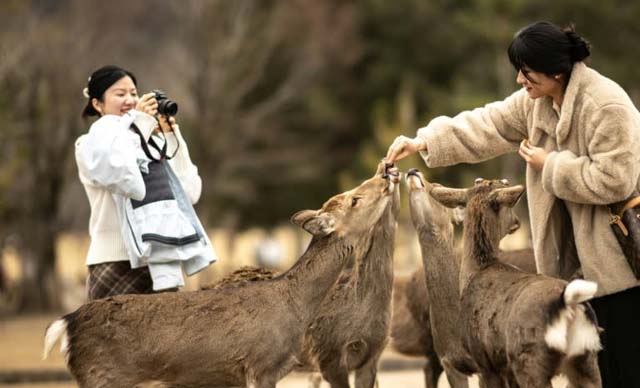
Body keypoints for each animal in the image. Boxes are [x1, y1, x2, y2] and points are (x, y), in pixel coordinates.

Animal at [42, 161, 398, 388]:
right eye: (355, 199)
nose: (385, 175)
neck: (293, 306)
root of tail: (66, 324)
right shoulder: (261, 363)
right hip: (103, 374)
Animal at [428, 177, 604, 386]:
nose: (517, 222)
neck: (474, 273)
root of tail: (567, 303)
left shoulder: (485, 362)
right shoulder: (503, 368)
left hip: (529, 360)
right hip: (587, 360)